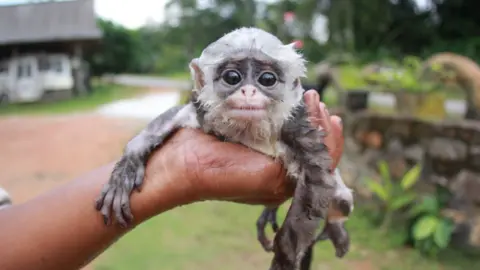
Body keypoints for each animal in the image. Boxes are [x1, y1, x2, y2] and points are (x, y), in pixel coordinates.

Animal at [94, 27, 352, 270]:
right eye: (232, 76)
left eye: (267, 79)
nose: (248, 91)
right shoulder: (200, 112)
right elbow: (166, 121)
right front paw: (125, 171)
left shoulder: (297, 127)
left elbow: (316, 178)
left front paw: (285, 259)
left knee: (341, 201)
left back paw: (335, 227)